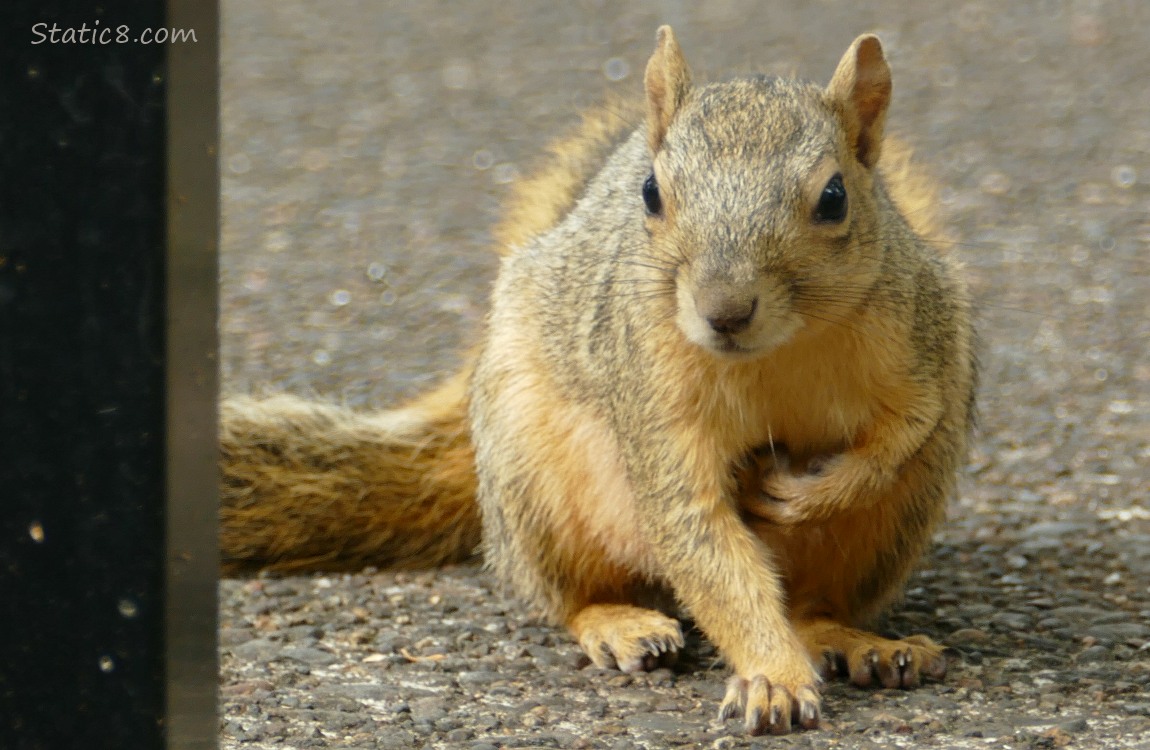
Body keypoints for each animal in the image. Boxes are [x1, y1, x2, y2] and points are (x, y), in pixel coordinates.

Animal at [220, 27, 977, 735]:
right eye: (651, 193)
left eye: (834, 198)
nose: (725, 311)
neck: (774, 354)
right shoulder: (653, 400)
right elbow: (701, 542)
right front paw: (773, 675)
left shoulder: (925, 339)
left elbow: (905, 434)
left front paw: (808, 495)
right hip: (533, 478)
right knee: (568, 595)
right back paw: (620, 624)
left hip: (896, 521)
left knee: (815, 602)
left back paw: (854, 640)